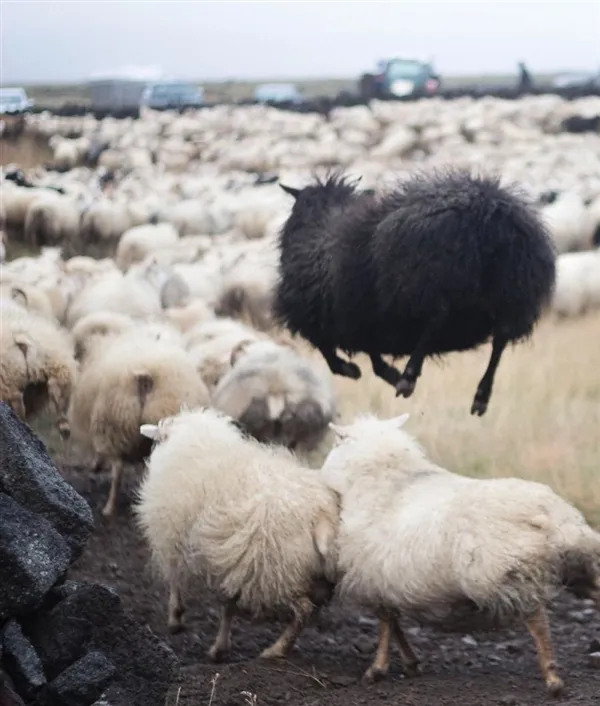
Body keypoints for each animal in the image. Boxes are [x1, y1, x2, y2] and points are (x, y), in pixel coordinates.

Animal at [137, 404, 342, 656]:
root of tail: (321, 513)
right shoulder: (234, 558)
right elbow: (228, 605)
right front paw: (220, 647)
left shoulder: (172, 537)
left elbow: (175, 582)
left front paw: (175, 619)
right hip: (310, 576)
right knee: (310, 609)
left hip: (277, 570)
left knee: (303, 609)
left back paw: (275, 650)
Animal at [274, 168, 556, 416]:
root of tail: (489, 214)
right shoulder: (359, 321)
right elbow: (367, 356)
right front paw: (382, 372)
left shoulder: (319, 317)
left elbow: (335, 358)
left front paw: (362, 370)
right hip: (513, 292)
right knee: (501, 338)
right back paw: (481, 396)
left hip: (424, 281)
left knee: (437, 318)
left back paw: (409, 377)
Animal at [322, 412, 600, 692]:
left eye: (335, 444)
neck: (387, 481)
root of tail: (554, 514)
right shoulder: (385, 583)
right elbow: (394, 624)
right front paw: (410, 663)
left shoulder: (372, 575)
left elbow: (386, 623)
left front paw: (377, 669)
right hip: (579, 566)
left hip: (514, 574)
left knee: (538, 621)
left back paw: (552, 678)